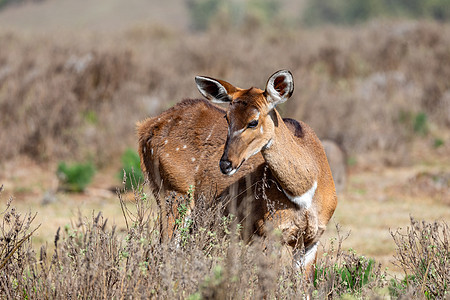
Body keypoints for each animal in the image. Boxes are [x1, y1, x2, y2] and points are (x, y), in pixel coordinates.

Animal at [137, 70, 338, 276]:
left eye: (253, 122)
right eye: (227, 117)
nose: (225, 163)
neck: (305, 192)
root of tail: (146, 128)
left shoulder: (311, 239)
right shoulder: (268, 231)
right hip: (174, 196)